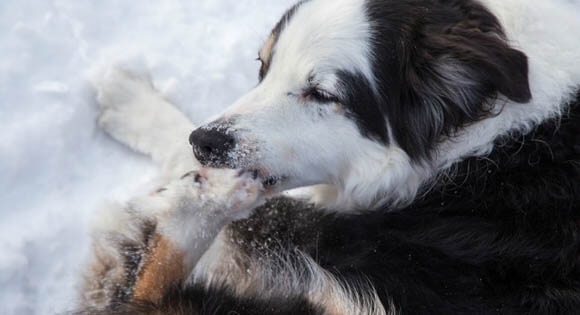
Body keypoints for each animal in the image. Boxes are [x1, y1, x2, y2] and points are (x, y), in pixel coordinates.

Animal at [79, 0, 580, 314]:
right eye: (262, 66)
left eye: (322, 94)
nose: (204, 141)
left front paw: (132, 102)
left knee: (138, 295)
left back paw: (203, 202)